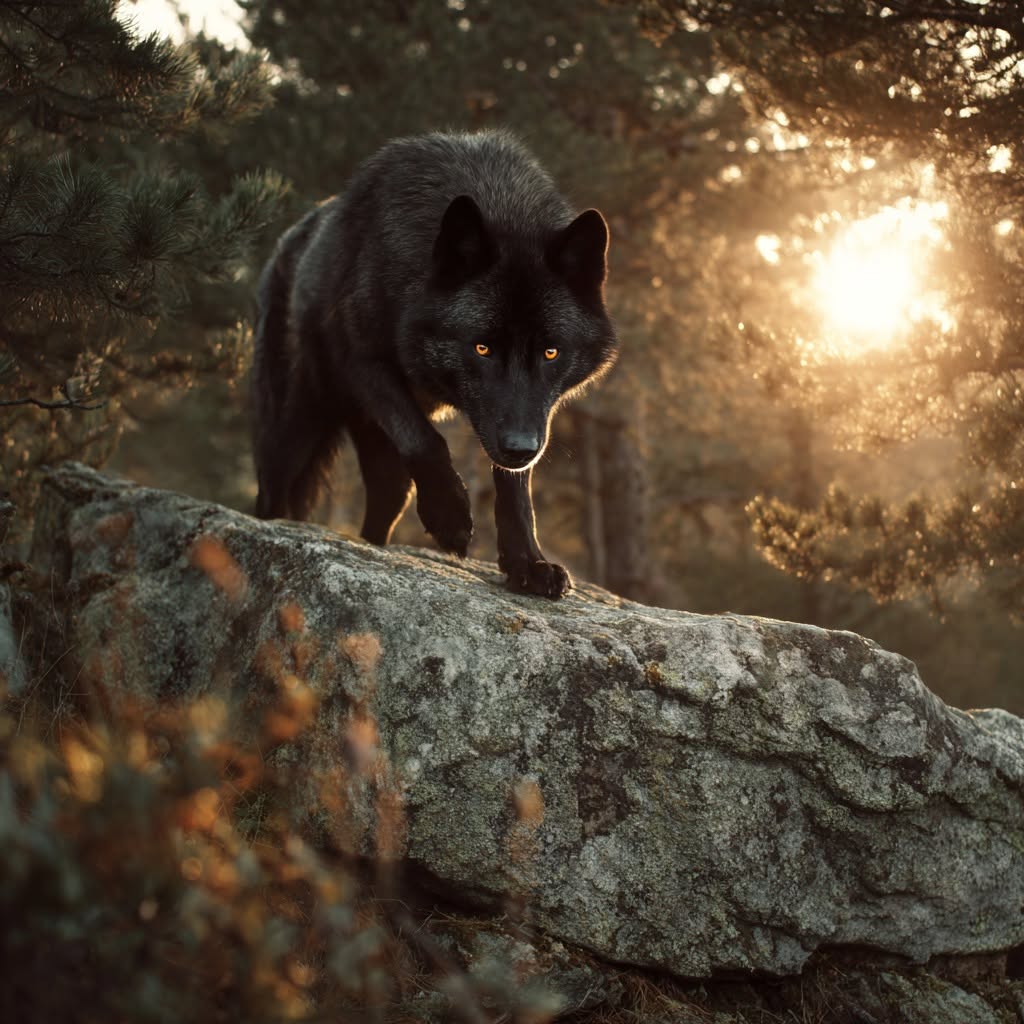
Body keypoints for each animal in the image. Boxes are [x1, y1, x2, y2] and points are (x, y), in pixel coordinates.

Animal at [251, 130, 617, 598]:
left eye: (551, 352)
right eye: (482, 348)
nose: (520, 447)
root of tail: (286, 242)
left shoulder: (531, 419)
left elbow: (515, 488)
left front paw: (528, 563)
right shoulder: (364, 362)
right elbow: (427, 441)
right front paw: (450, 518)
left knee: (389, 495)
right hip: (293, 434)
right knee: (274, 496)